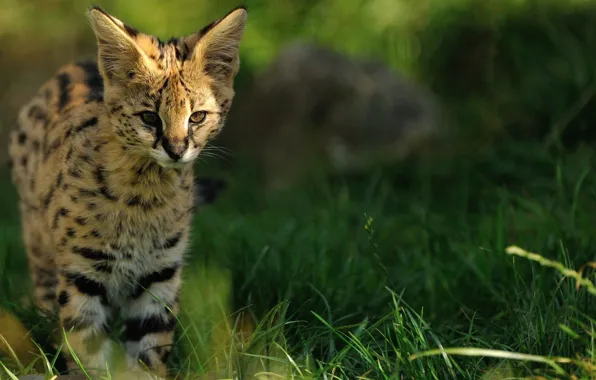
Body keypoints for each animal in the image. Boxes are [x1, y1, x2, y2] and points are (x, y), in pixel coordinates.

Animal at [6, 3, 247, 378]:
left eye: (197, 117)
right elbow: (87, 345)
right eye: (149, 117)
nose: (176, 150)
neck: (144, 193)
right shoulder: (82, 272)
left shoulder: (160, 272)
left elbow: (151, 346)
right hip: (40, 241)